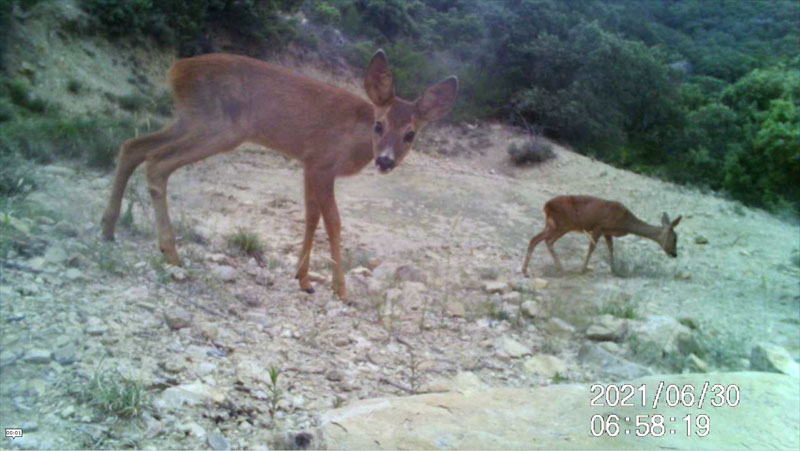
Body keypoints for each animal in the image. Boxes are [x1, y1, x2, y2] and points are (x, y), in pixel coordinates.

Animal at [101, 51, 456, 300]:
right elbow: (333, 222)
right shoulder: (322, 163)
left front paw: (304, 279)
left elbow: (311, 217)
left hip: (189, 120)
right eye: (379, 125)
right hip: (217, 127)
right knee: (156, 162)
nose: (384, 161)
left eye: (410, 134)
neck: (356, 136)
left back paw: (109, 230)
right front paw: (340, 290)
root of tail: (176, 71)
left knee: (132, 146)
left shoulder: (309, 164)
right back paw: (170, 253)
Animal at [520, 196, 684, 278]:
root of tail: (546, 206)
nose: (675, 254)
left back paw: (526, 271)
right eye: (675, 238)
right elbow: (591, 248)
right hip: (563, 224)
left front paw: (614, 270)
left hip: (553, 224)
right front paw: (582, 270)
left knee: (536, 239)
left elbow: (611, 249)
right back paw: (561, 268)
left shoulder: (607, 232)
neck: (625, 223)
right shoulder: (599, 227)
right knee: (547, 240)